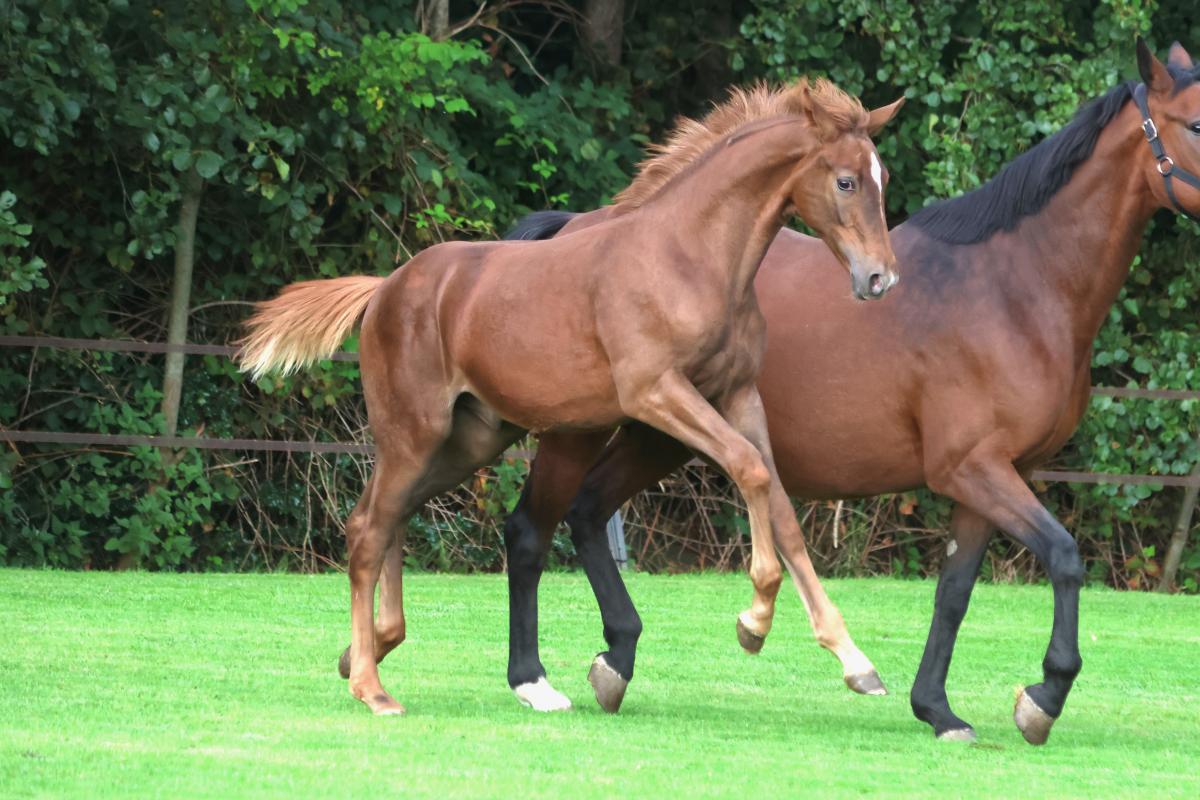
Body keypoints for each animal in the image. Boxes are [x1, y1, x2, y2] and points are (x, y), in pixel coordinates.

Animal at [237, 78, 904, 715]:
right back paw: (375, 688)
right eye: (846, 180)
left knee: (387, 517)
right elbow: (749, 470)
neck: (691, 258)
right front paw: (754, 620)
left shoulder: (738, 396)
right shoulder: (656, 394)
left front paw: (853, 660)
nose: (880, 278)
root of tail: (384, 289)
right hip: (415, 433)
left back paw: (371, 649)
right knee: (370, 530)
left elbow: (781, 506)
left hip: (467, 441)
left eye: (884, 179)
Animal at [499, 39, 1200, 742]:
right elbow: (1063, 557)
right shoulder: (973, 469)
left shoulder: (993, 478)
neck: (1016, 288)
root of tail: (575, 229)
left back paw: (616, 659)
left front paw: (937, 708)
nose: (876, 279)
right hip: (584, 430)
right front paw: (1044, 696)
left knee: (588, 511)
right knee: (531, 531)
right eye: (1195, 124)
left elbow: (954, 593)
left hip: (659, 436)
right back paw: (534, 679)